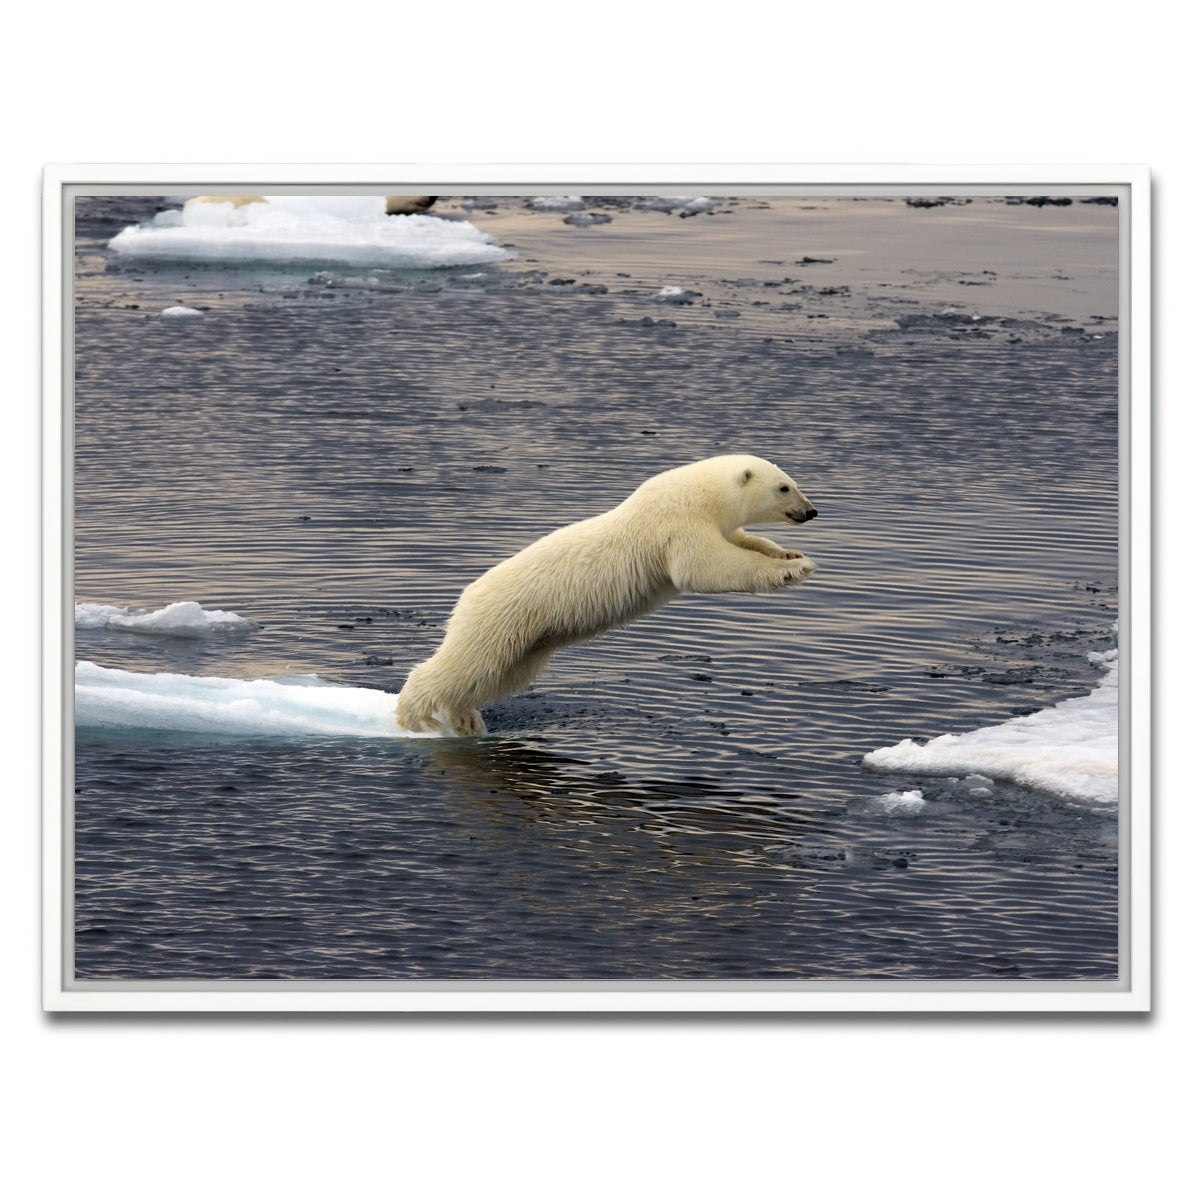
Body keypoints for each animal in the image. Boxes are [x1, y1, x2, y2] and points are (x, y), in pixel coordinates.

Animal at [394, 454, 819, 736]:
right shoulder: (676, 525)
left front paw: (790, 555)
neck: (699, 493)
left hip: (530, 640)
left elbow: (745, 541)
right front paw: (791, 570)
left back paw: (465, 718)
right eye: (784, 487)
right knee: (467, 663)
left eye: (795, 481)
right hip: (503, 616)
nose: (812, 511)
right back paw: (416, 717)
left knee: (499, 674)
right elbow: (707, 567)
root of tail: (467, 595)